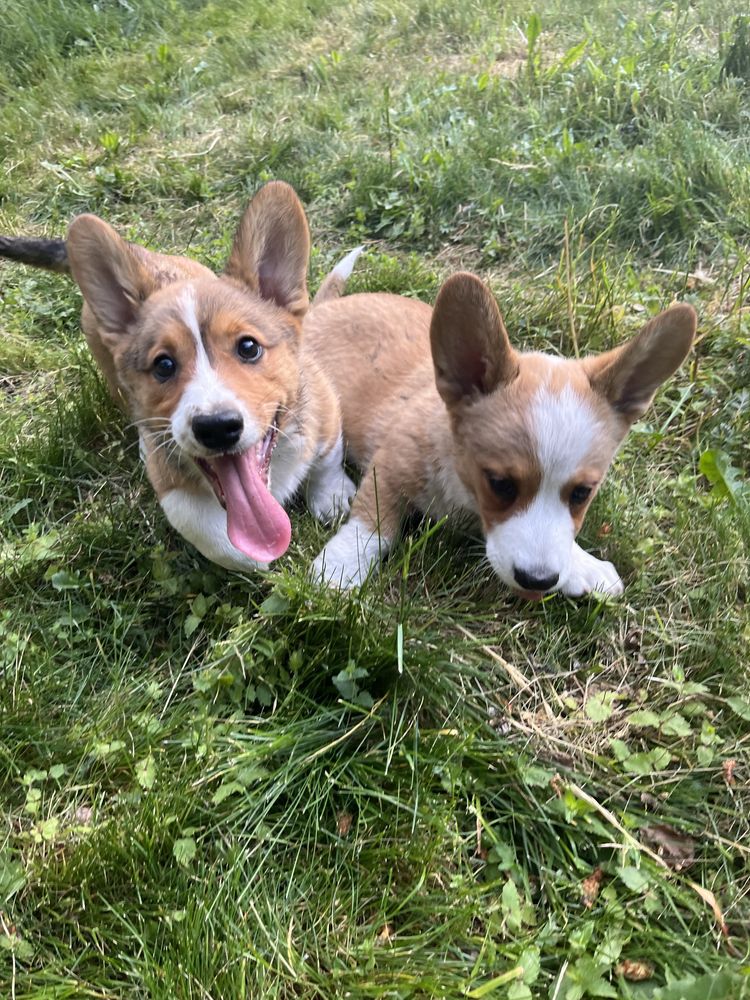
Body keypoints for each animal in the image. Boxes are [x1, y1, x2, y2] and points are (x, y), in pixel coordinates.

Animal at [0, 182, 358, 572]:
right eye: (164, 365)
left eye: (248, 347)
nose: (217, 428)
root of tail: (140, 252)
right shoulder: (174, 491)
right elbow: (212, 534)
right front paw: (254, 559)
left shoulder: (326, 409)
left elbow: (328, 459)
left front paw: (332, 497)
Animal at [306, 264, 700, 592]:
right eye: (500, 484)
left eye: (582, 493)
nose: (537, 581)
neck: (461, 482)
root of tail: (321, 308)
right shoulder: (387, 467)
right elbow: (372, 524)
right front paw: (340, 567)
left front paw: (583, 566)